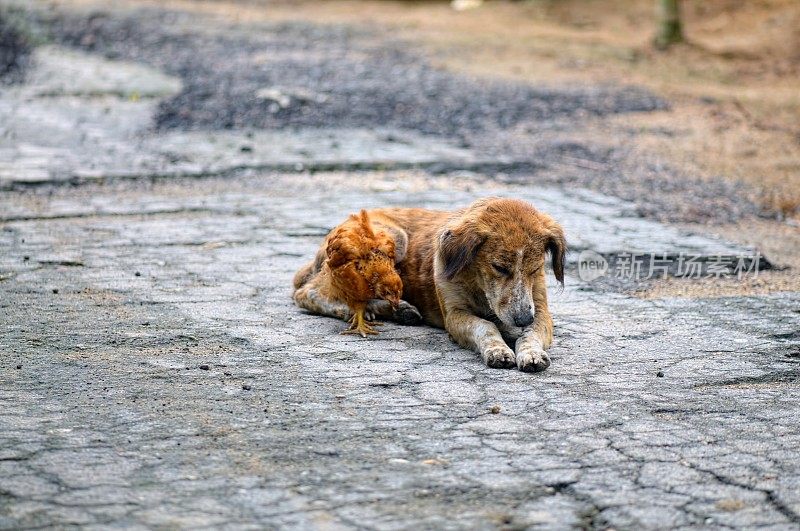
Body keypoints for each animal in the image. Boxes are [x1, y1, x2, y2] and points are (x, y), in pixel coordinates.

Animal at [296, 197, 568, 372]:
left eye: (535, 269)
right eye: (499, 267)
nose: (522, 319)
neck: (477, 284)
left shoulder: (540, 311)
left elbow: (531, 334)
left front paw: (531, 352)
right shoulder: (454, 315)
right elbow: (485, 326)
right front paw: (497, 350)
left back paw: (399, 310)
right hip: (394, 239)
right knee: (305, 291)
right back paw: (351, 310)